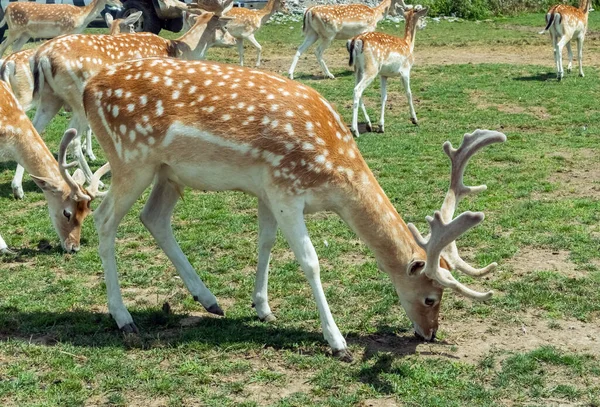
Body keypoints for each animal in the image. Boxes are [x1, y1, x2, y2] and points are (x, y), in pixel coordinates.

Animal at [27, 10, 234, 192]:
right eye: (224, 27)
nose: (232, 40)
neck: (178, 51)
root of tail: (41, 56)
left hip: (50, 98)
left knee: (33, 129)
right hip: (77, 99)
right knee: (73, 139)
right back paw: (94, 181)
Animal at [77, 55, 504, 362]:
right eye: (431, 297)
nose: (430, 333)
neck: (333, 172)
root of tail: (87, 89)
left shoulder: (267, 189)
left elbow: (265, 242)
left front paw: (263, 308)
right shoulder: (286, 189)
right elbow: (310, 260)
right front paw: (338, 343)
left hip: (168, 172)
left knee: (154, 218)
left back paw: (210, 300)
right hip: (131, 159)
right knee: (104, 218)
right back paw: (124, 318)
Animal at [344, 5, 428, 138]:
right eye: (421, 17)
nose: (425, 24)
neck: (408, 45)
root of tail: (355, 40)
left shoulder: (384, 75)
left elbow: (384, 96)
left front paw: (381, 126)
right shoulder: (405, 70)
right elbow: (409, 93)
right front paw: (415, 119)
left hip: (358, 69)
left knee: (356, 89)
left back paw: (368, 125)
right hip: (371, 68)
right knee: (357, 90)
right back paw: (355, 130)